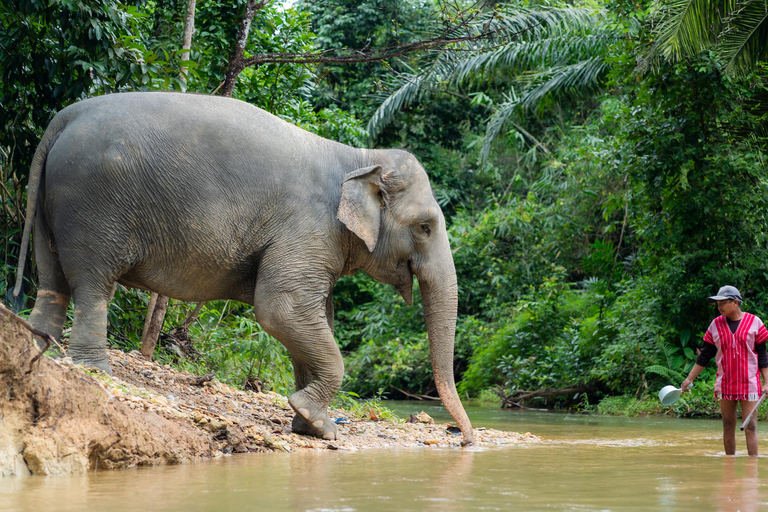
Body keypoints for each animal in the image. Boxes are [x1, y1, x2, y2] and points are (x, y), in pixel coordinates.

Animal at [12, 92, 474, 445]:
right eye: (425, 226)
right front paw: (318, 422)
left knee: (52, 278)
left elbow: (312, 317)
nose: (464, 439)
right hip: (94, 205)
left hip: (53, 201)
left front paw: (310, 427)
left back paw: (39, 344)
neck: (357, 157)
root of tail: (62, 118)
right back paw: (93, 368)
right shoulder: (308, 227)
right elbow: (281, 309)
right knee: (93, 284)